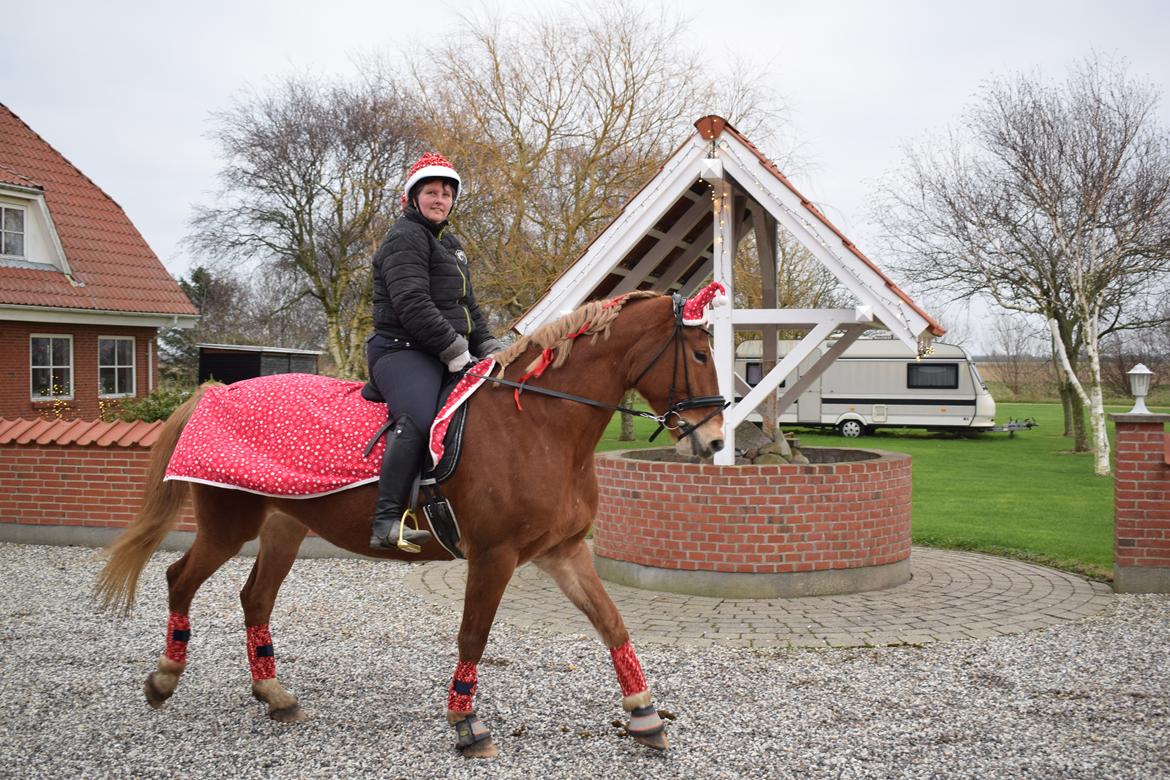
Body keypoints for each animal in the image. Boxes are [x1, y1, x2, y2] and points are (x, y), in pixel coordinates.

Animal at [95, 290, 725, 757]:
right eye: (698, 355)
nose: (716, 441)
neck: (541, 425)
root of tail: (214, 393)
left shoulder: (564, 552)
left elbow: (612, 623)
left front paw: (645, 715)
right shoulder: (494, 555)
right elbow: (473, 635)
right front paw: (467, 725)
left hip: (284, 528)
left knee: (255, 597)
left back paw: (274, 693)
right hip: (229, 527)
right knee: (179, 579)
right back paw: (163, 678)